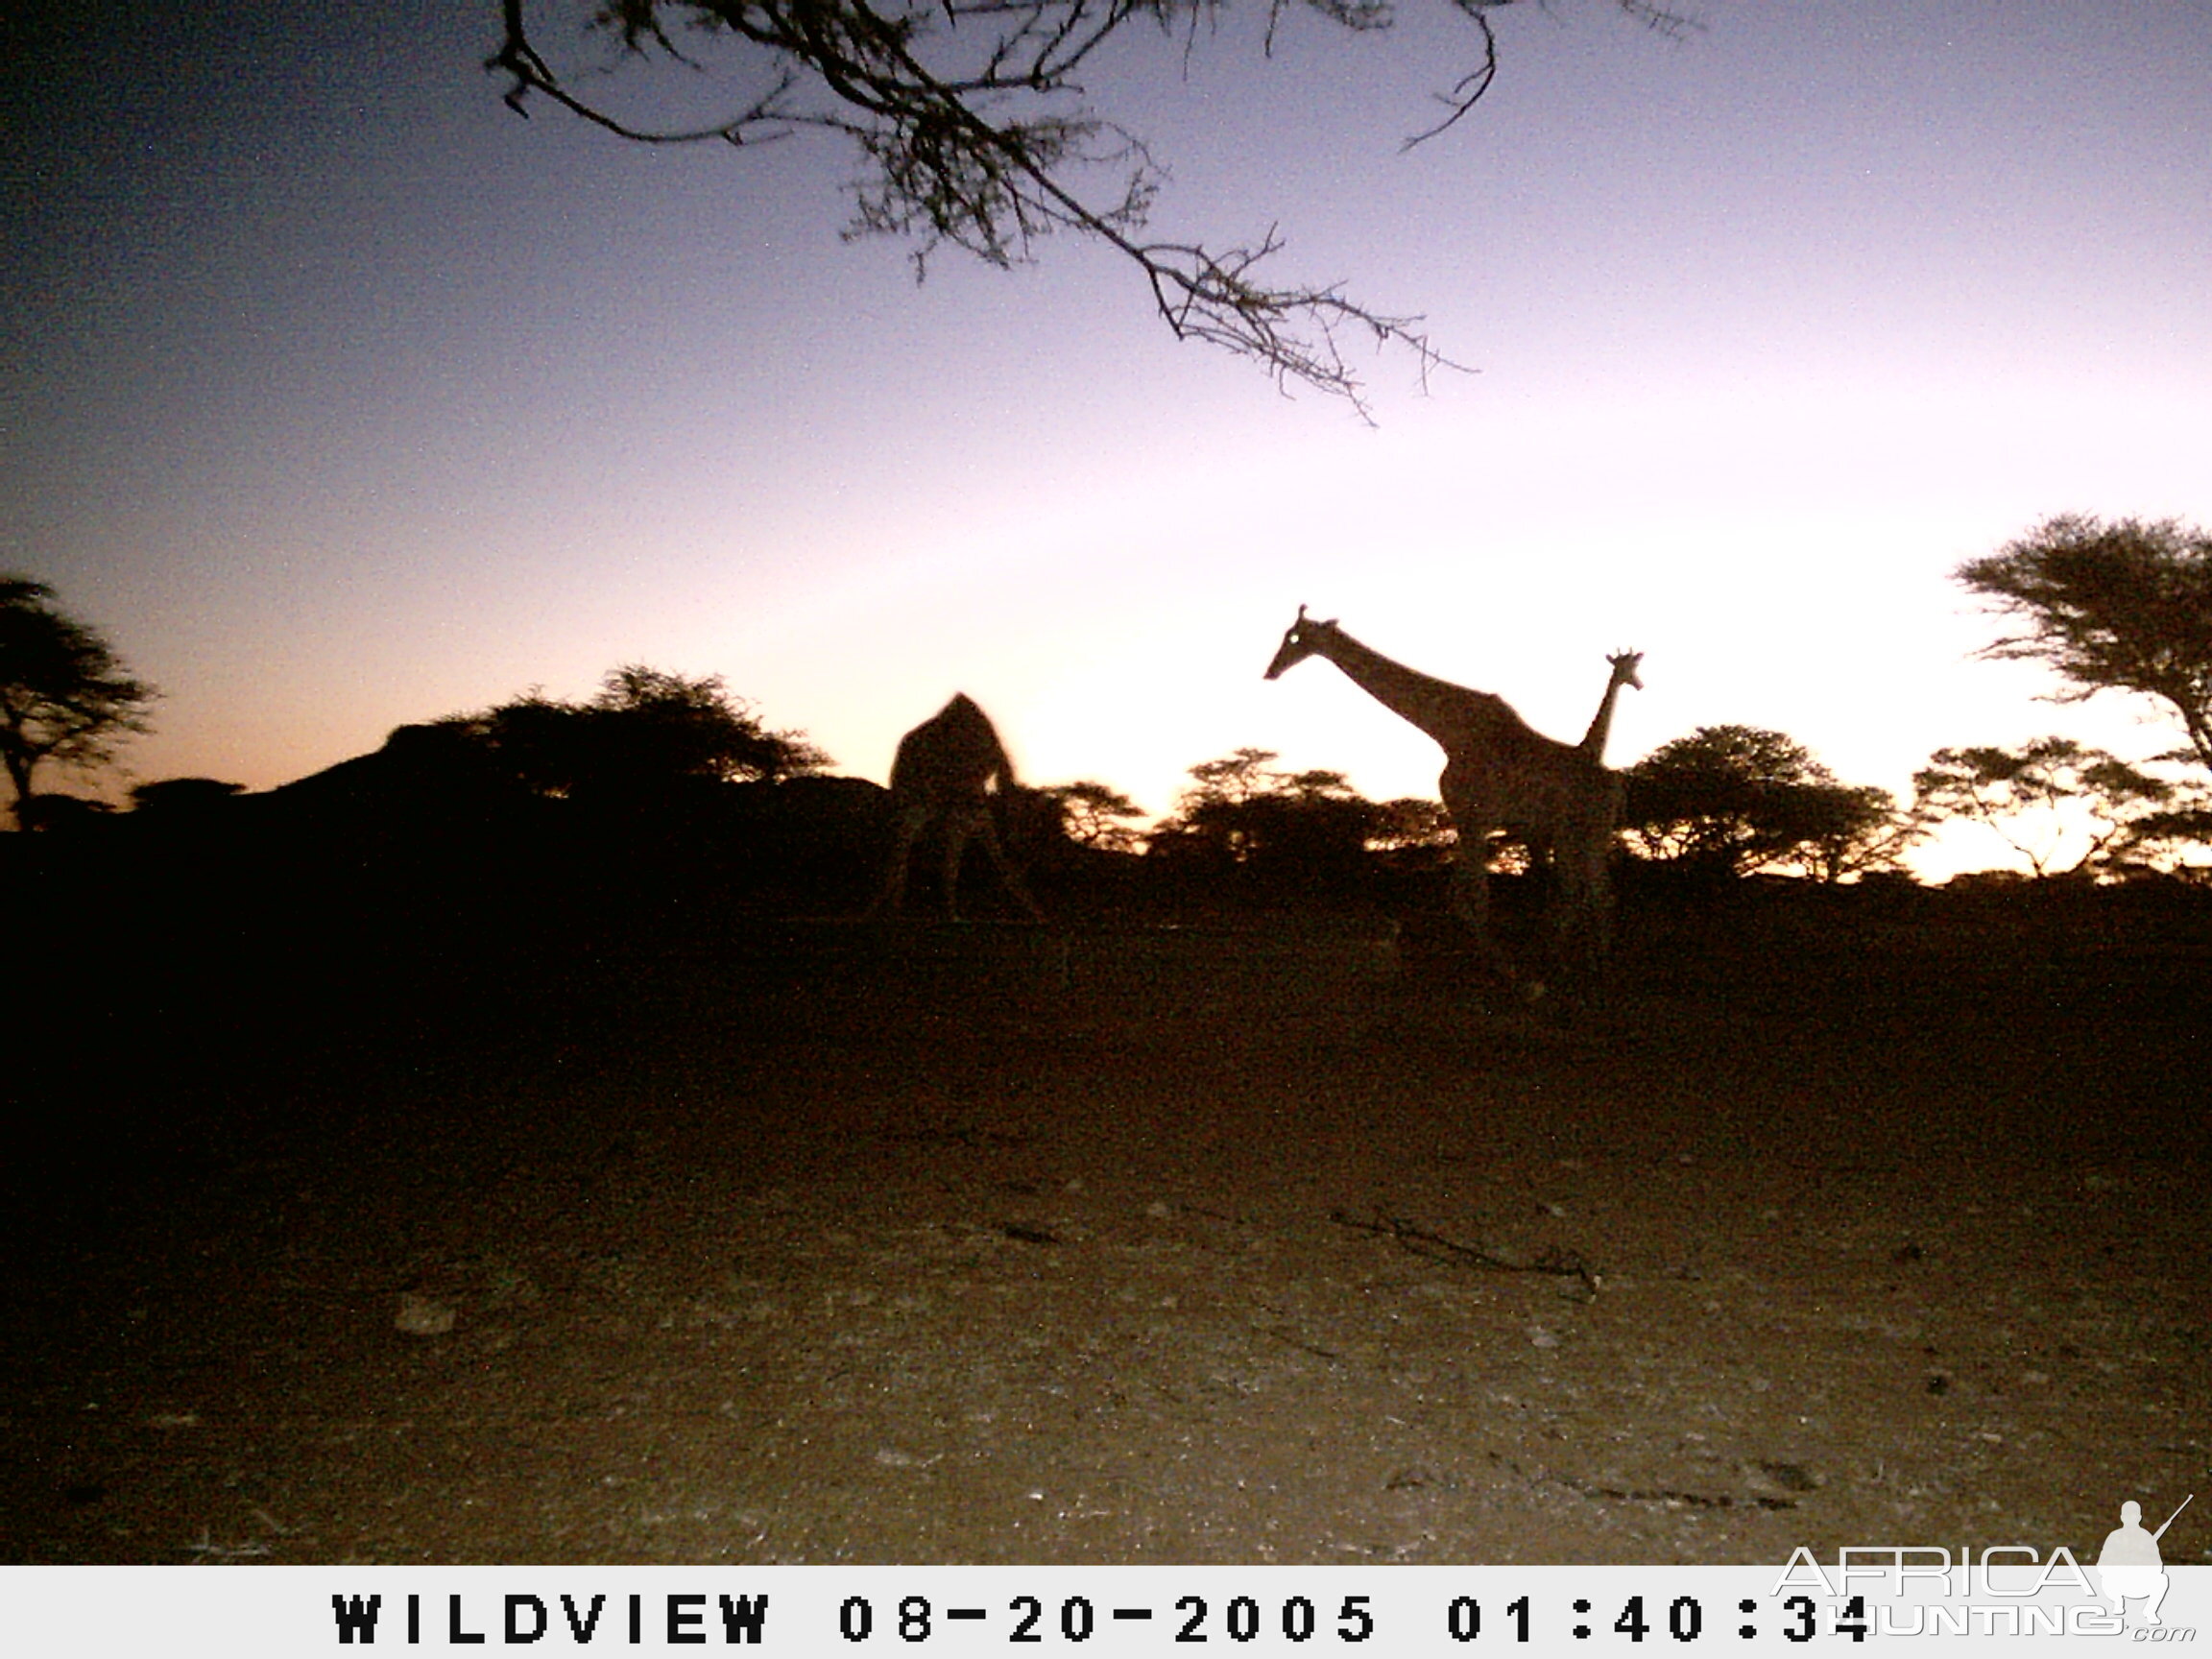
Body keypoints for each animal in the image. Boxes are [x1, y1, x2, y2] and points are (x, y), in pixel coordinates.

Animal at [862, 689, 1044, 925]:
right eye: (1032, 829)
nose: (1028, 854)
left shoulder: (962, 802)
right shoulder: (966, 800)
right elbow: (973, 857)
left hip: (917, 801)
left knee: (901, 847)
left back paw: (889, 910)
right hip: (923, 801)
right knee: (903, 848)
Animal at [1264, 606, 1627, 973]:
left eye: (1295, 637)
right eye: (1286, 635)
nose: (1271, 671)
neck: (1449, 734)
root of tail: (1612, 782)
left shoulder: (1475, 820)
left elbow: (1476, 898)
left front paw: (1503, 967)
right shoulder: (1465, 821)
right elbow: (1458, 898)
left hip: (1587, 829)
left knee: (1594, 891)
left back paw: (1587, 962)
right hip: (1576, 833)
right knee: (1589, 890)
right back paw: (1581, 959)